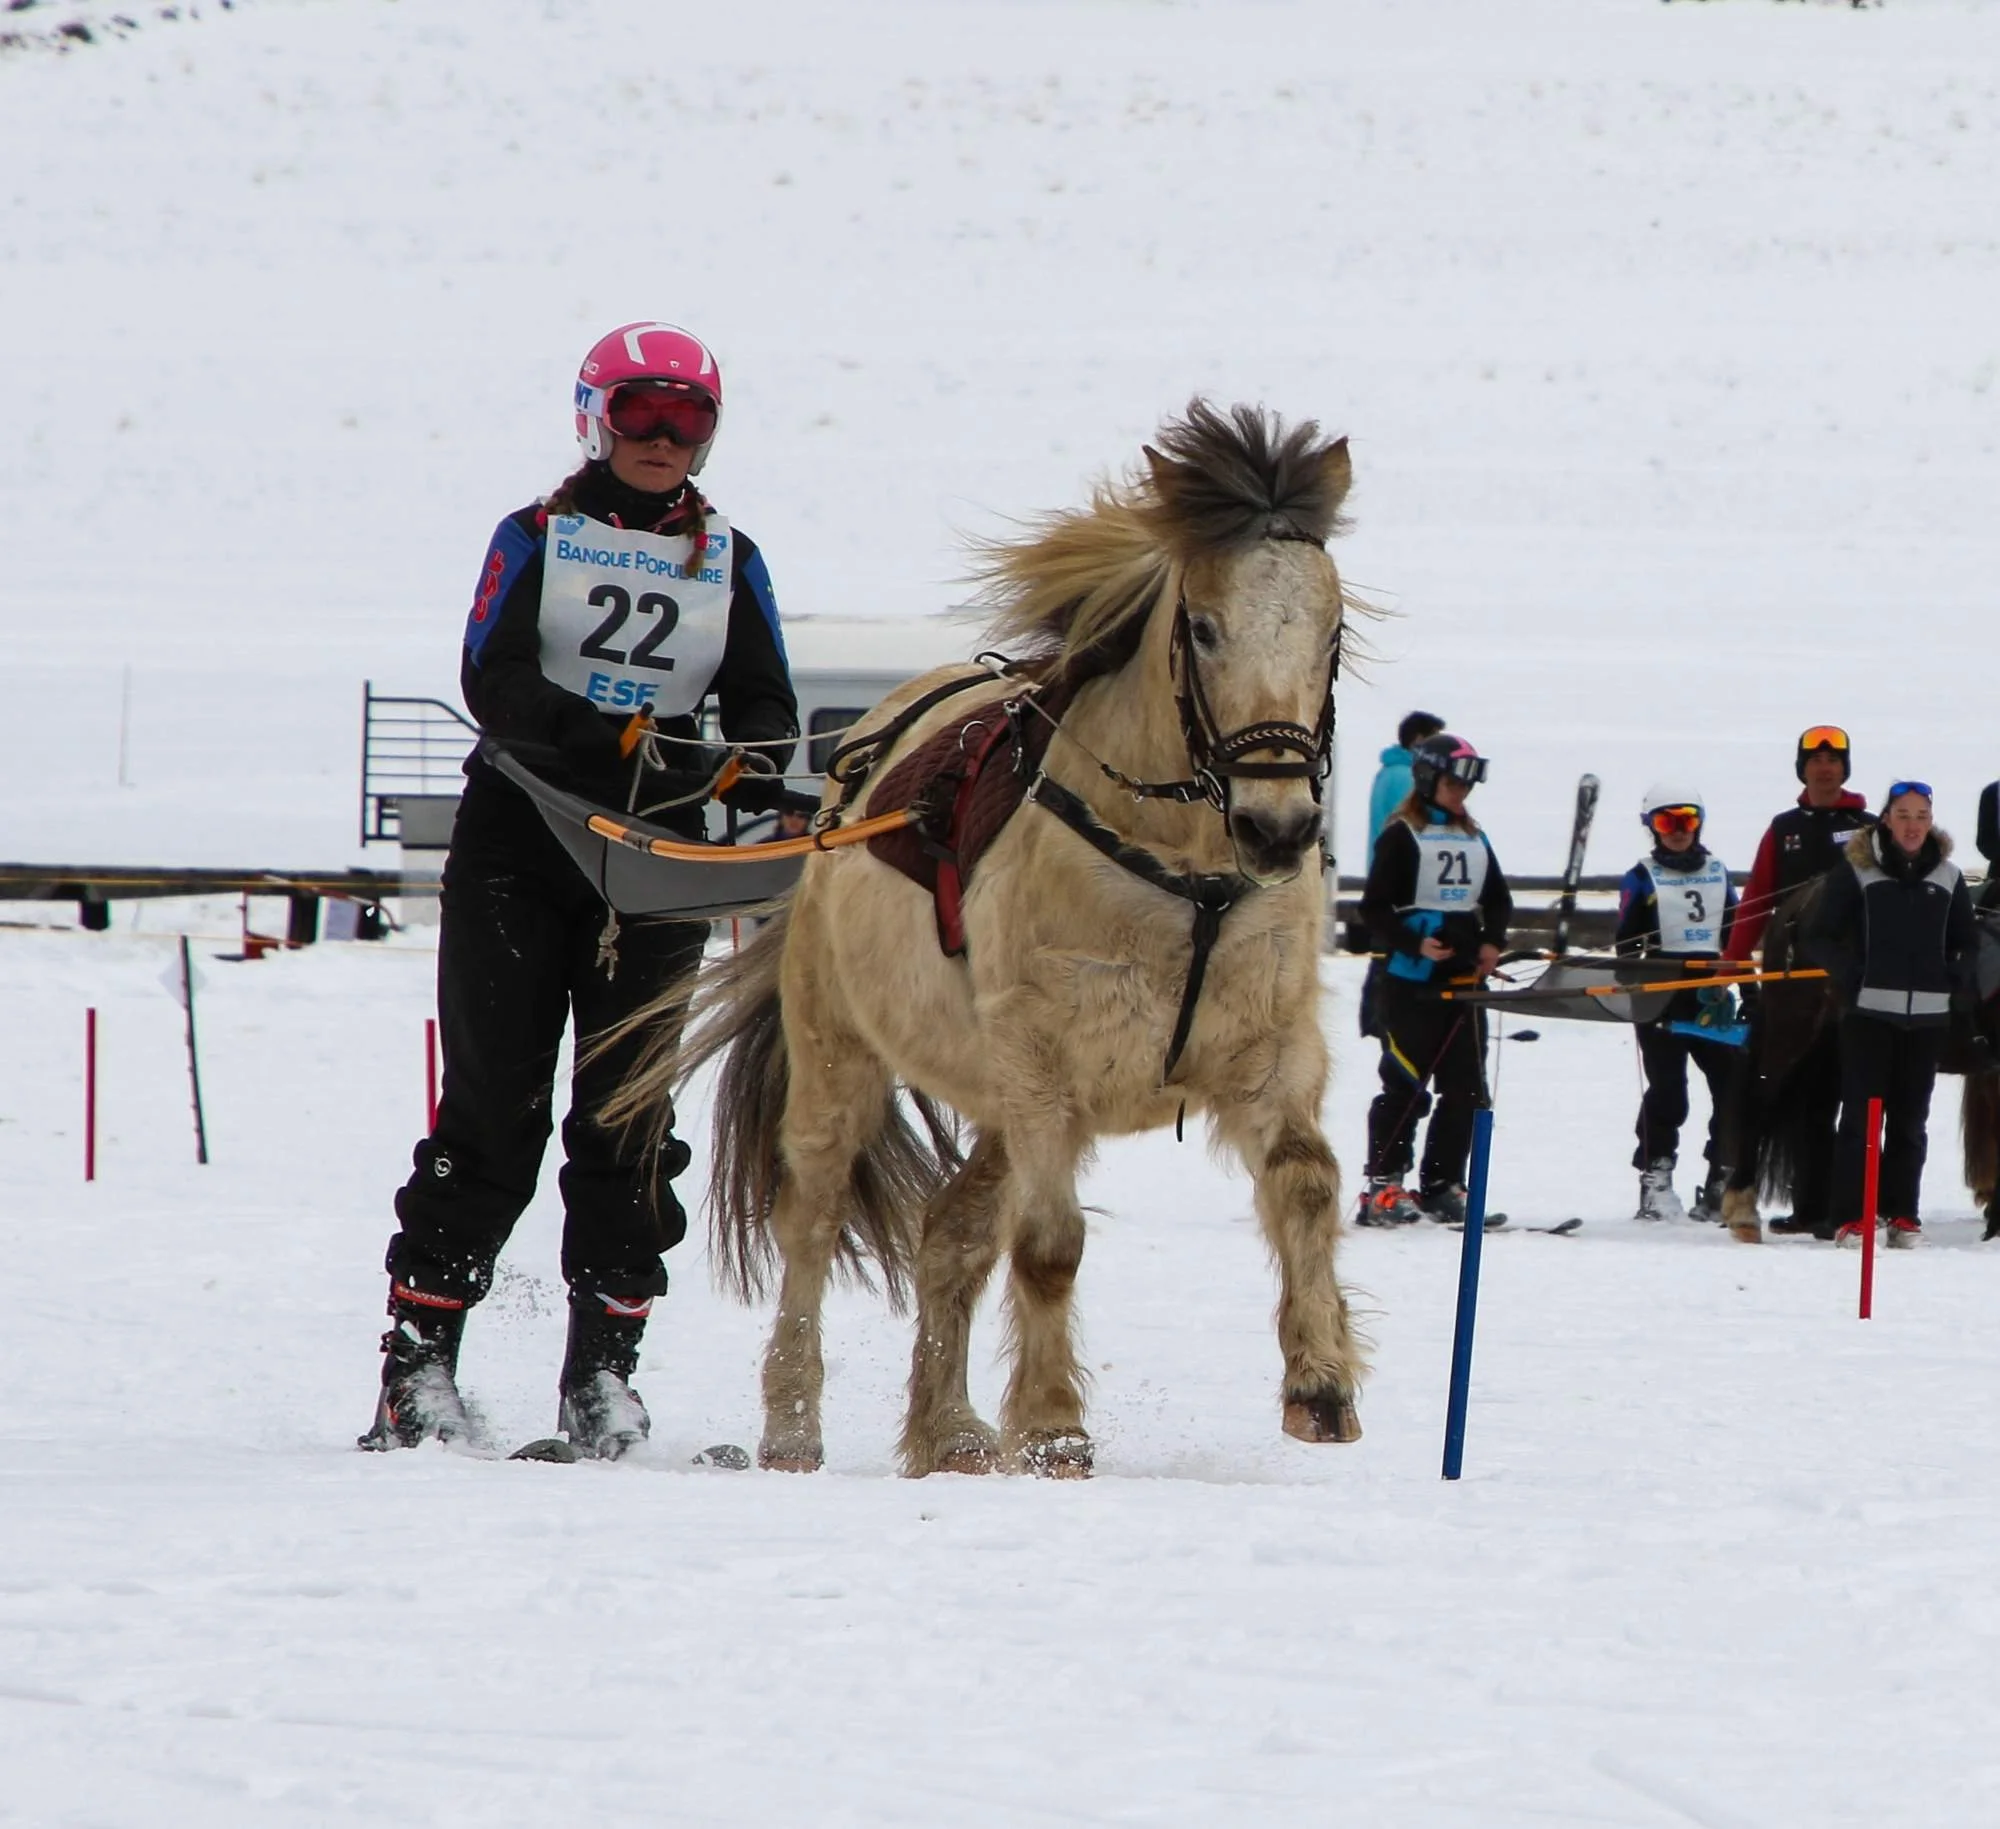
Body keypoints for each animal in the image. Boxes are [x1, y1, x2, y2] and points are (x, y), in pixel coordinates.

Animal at [606, 401, 1367, 1476]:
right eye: (1205, 627)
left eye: (1332, 630)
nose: (1279, 826)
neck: (1184, 873)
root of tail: (842, 783)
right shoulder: (1044, 1069)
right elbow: (1049, 1245)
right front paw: (1051, 1427)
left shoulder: (1267, 1051)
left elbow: (1305, 1183)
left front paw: (1320, 1384)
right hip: (845, 1056)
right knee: (812, 1219)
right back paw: (793, 1426)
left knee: (949, 1230)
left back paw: (949, 1429)